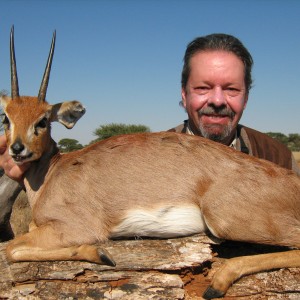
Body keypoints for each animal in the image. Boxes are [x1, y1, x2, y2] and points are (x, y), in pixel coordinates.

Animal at [0, 27, 300, 298]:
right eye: (6, 117)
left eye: (42, 120)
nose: (17, 149)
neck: (52, 173)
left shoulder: (78, 228)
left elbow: (11, 249)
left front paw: (99, 254)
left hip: (227, 222)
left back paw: (218, 281)